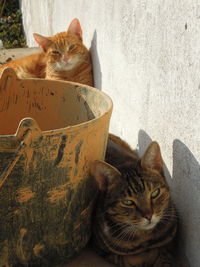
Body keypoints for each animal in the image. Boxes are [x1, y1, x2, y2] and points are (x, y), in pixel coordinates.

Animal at [90, 135, 177, 266]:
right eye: (128, 202)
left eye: (155, 193)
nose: (149, 215)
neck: (145, 238)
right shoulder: (105, 252)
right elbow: (129, 259)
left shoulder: (169, 244)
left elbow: (163, 256)